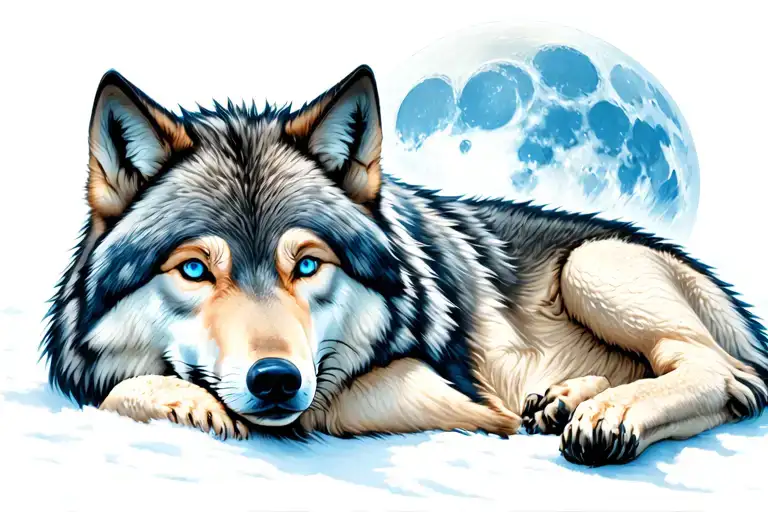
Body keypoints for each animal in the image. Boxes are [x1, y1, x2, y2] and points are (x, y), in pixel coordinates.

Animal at [41, 65, 768, 467]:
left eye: (308, 265)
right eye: (195, 272)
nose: (276, 380)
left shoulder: (434, 392)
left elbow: (330, 407)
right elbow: (110, 389)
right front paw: (185, 400)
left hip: (595, 265)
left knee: (726, 376)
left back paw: (606, 415)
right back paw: (565, 400)